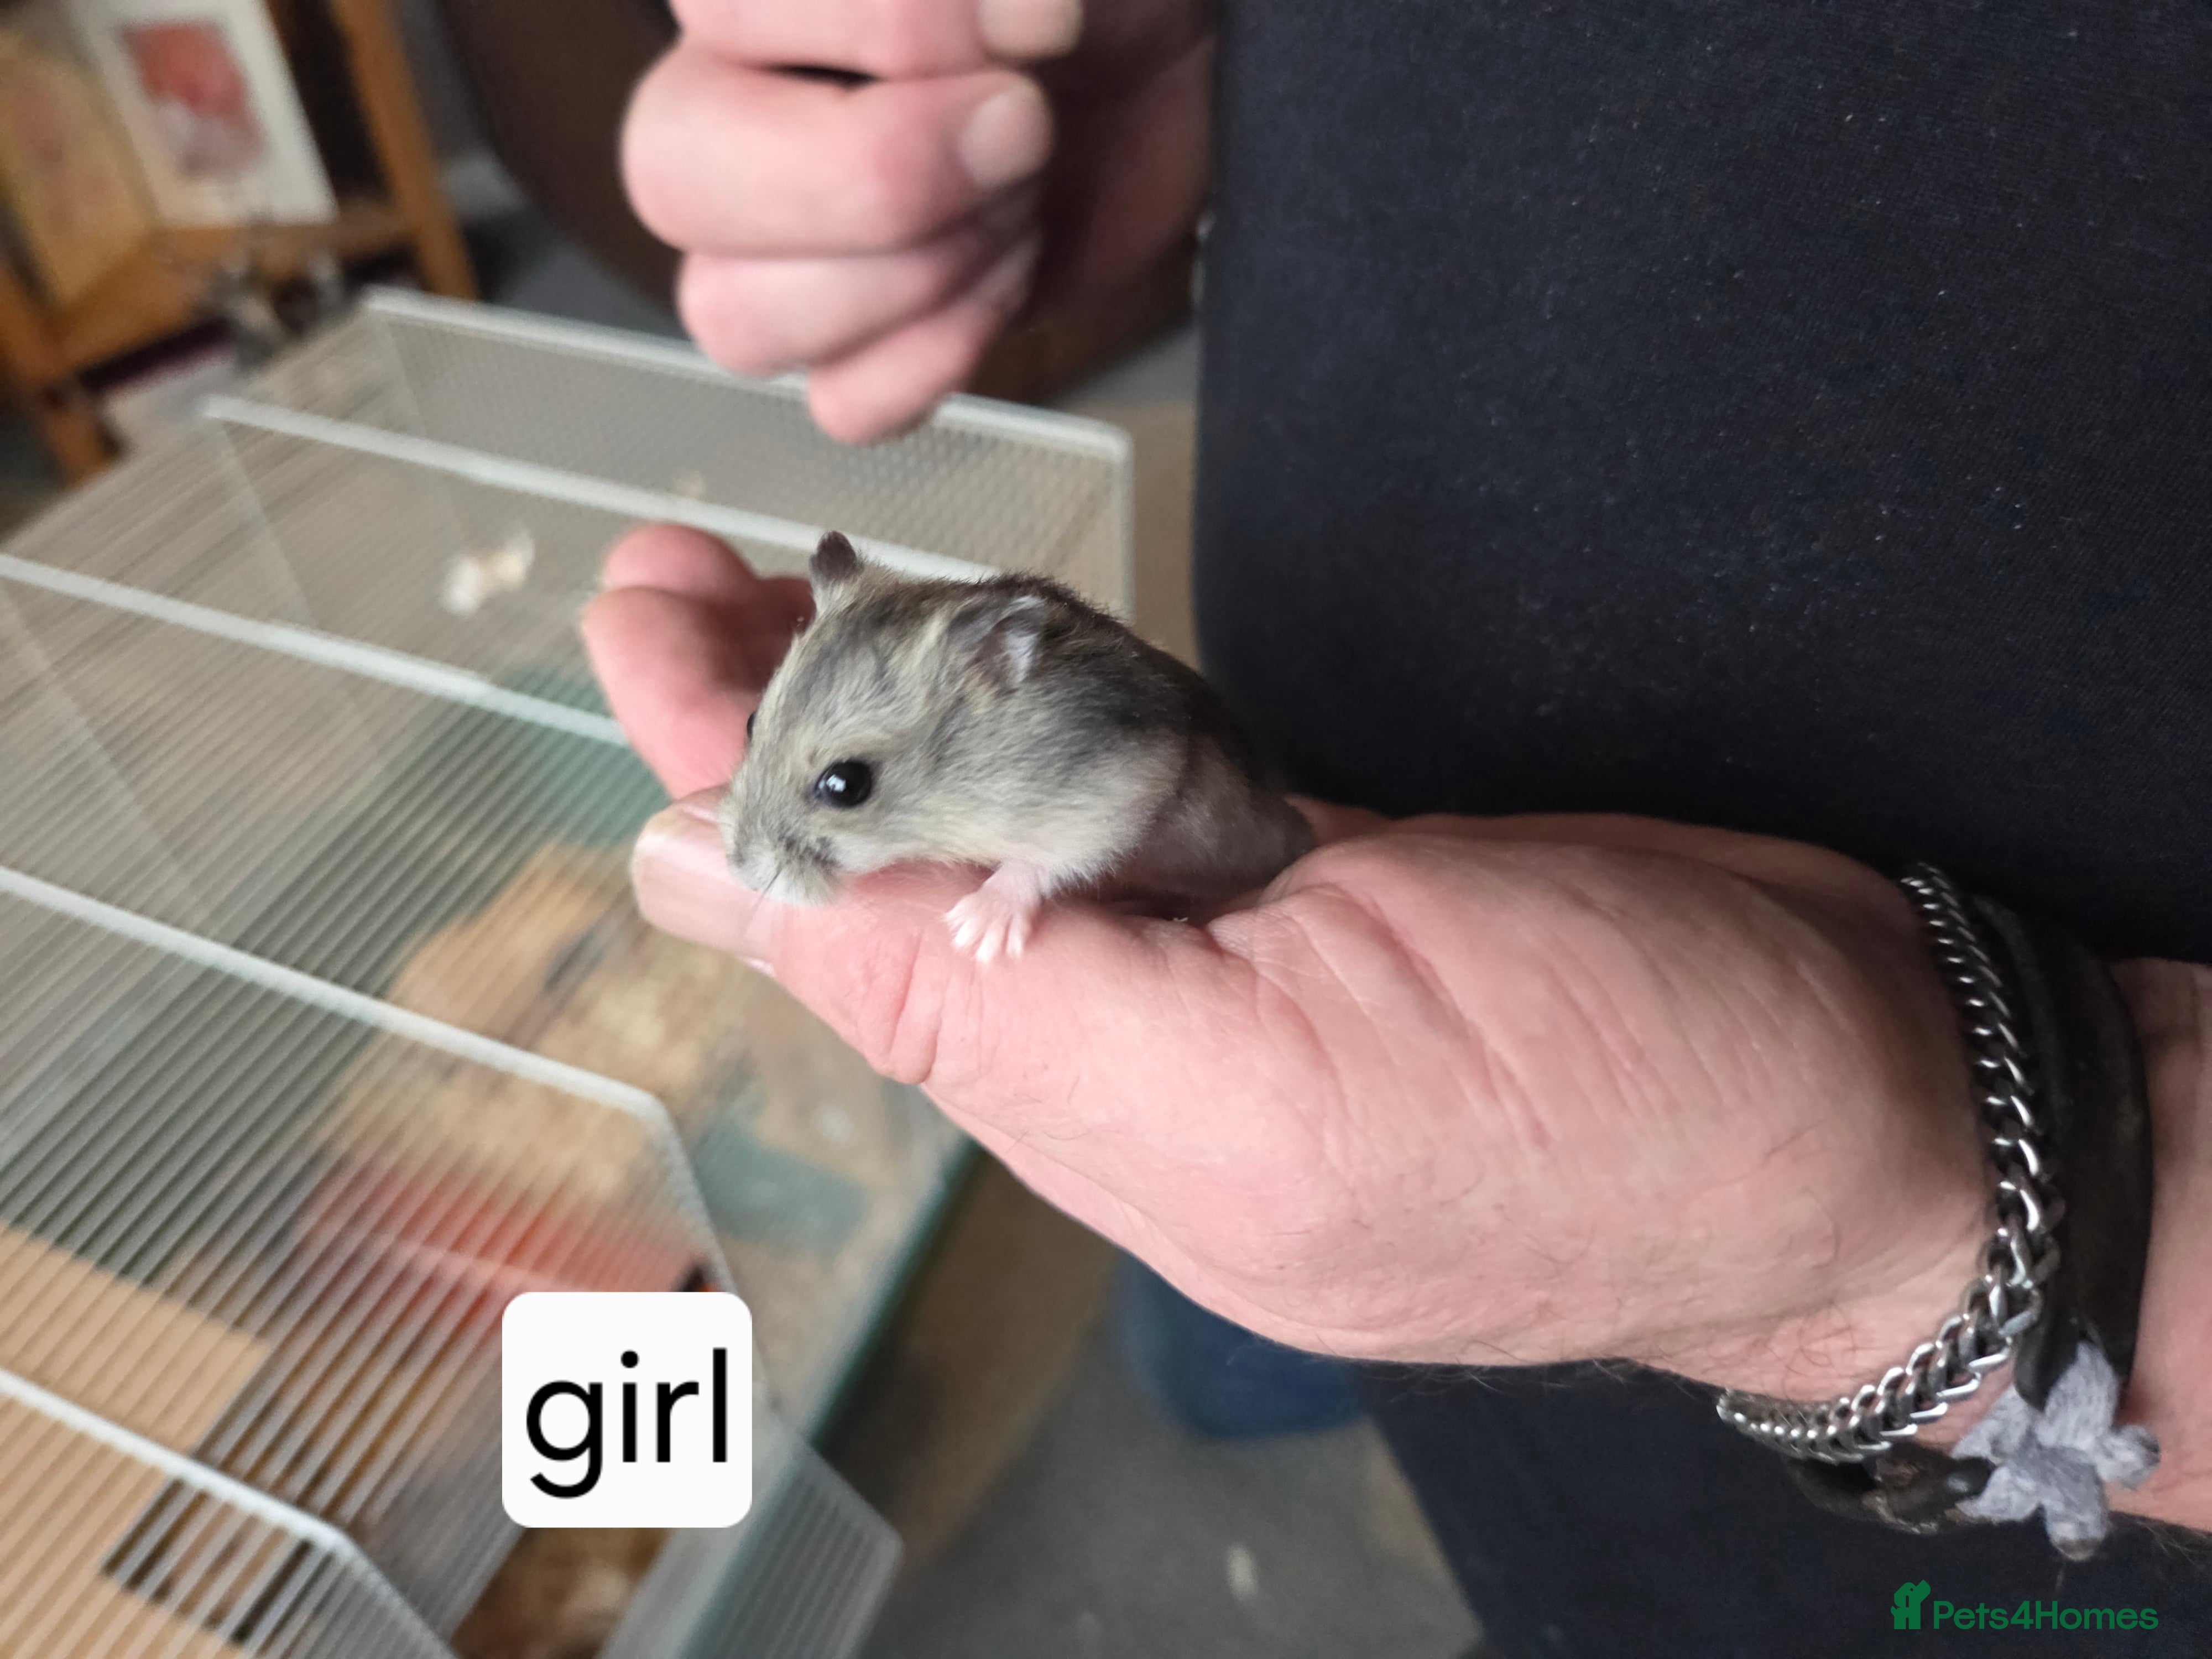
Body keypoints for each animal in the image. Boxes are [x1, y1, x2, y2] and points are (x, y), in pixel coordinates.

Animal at [719, 531, 1315, 960]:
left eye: (846, 785)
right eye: (749, 722)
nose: (742, 874)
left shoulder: (1117, 787)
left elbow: (1041, 862)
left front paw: (974, 932)